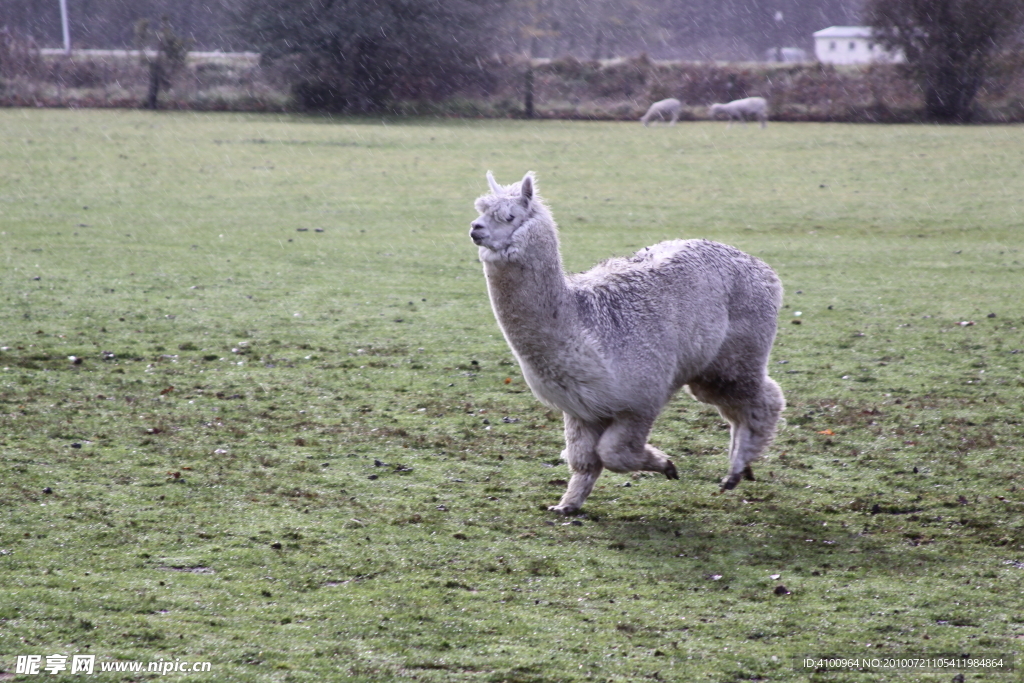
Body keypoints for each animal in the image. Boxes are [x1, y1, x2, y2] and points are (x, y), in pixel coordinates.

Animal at [468, 174, 782, 516]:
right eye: (480, 210)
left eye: (509, 216)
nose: (475, 228)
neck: (583, 321)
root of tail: (762, 268)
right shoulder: (581, 407)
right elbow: (584, 460)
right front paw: (567, 505)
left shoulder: (641, 399)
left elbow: (615, 454)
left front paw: (665, 464)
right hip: (711, 370)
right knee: (740, 407)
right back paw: (741, 469)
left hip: (737, 355)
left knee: (765, 399)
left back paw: (736, 470)